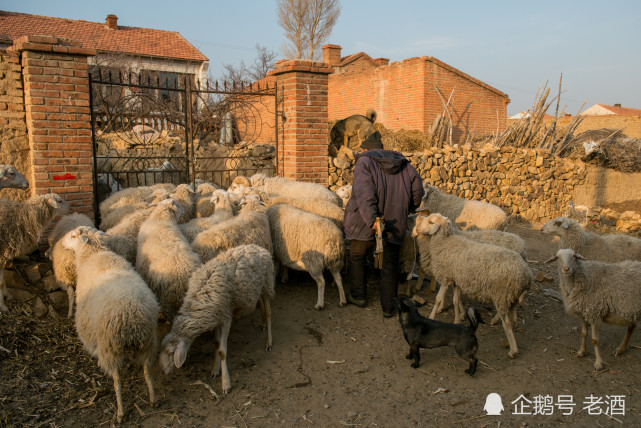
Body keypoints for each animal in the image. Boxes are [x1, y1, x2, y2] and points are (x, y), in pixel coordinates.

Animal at [60, 226, 159, 422]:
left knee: (117, 382)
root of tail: (131, 320)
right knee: (147, 372)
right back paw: (152, 399)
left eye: (73, 236)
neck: (93, 254)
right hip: (148, 343)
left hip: (109, 349)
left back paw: (120, 413)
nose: (61, 243)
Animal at [160, 244, 276, 394]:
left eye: (170, 353)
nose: (163, 371)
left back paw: (269, 341)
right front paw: (215, 369)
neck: (197, 302)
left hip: (266, 285)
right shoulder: (216, 317)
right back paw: (262, 323)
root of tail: (258, 247)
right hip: (257, 289)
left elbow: (222, 351)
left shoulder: (226, 317)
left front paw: (226, 383)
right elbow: (216, 343)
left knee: (269, 313)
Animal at [416, 213, 528, 358]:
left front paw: (432, 315)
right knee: (514, 319)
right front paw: (458, 318)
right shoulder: (456, 278)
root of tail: (525, 274)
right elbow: (456, 299)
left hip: (501, 294)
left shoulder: (446, 276)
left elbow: (438, 299)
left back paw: (512, 349)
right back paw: (506, 342)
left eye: (430, 222)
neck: (446, 241)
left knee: (507, 322)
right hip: (511, 295)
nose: (418, 228)